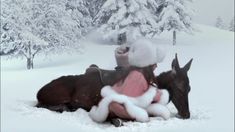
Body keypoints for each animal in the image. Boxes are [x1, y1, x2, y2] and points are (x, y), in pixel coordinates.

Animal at [35, 54, 192, 119]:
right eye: (179, 87)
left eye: (189, 88)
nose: (186, 114)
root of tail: (38, 92)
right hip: (59, 95)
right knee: (41, 105)